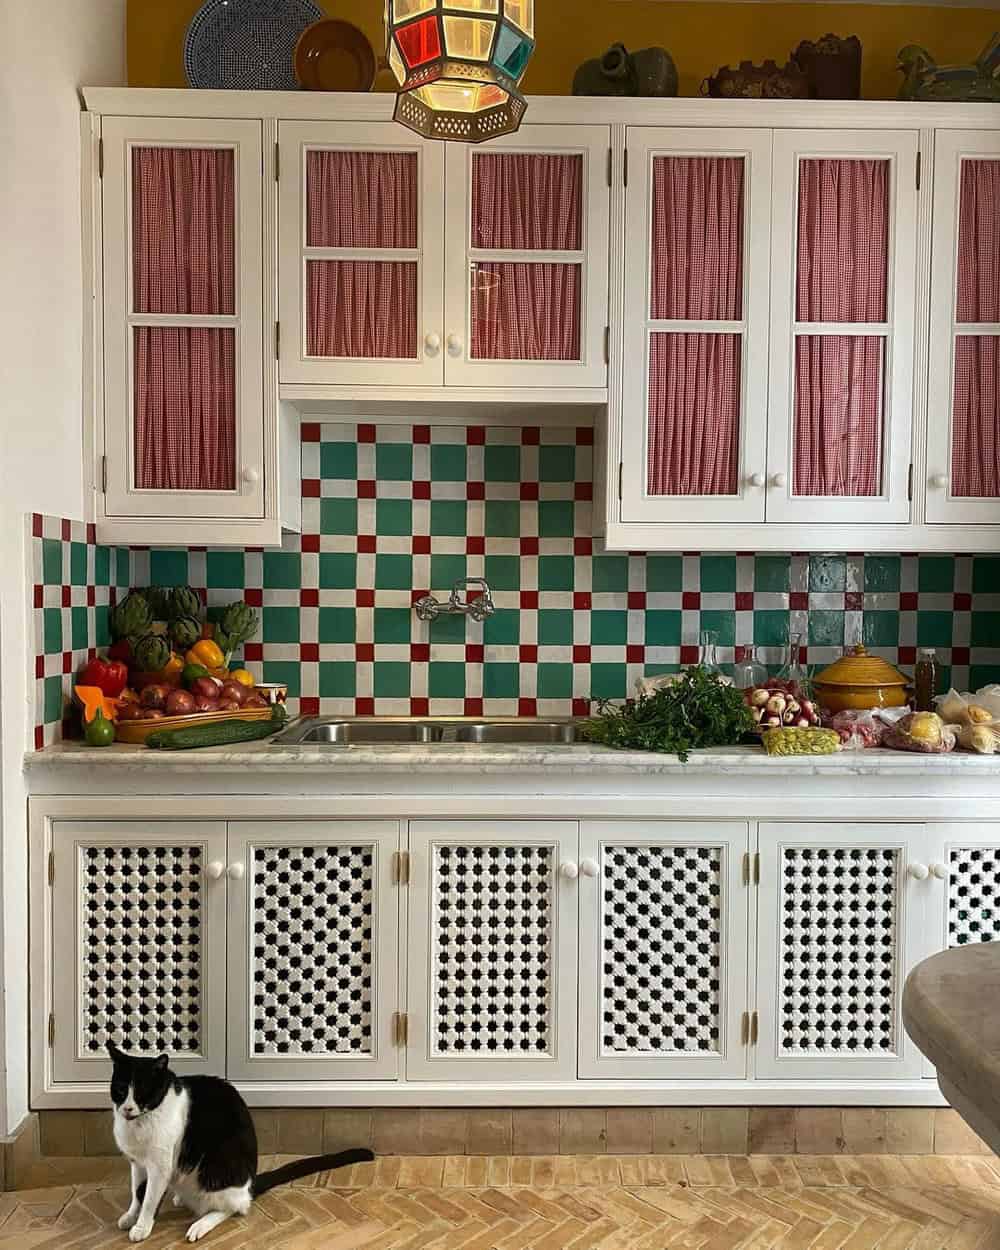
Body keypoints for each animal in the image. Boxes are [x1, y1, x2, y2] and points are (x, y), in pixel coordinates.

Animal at [108, 1045, 375, 1240]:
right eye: (120, 1090)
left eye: (142, 1092)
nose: (128, 1108)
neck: (139, 1124)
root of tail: (249, 1182)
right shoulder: (138, 1163)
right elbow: (137, 1193)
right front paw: (131, 1216)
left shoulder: (160, 1165)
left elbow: (149, 1198)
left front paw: (142, 1227)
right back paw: (180, 1198)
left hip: (215, 1170)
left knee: (234, 1206)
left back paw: (200, 1225)